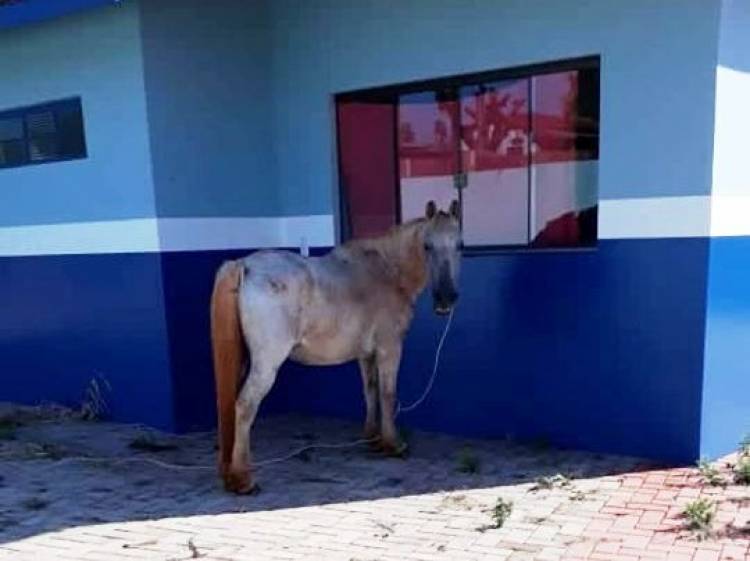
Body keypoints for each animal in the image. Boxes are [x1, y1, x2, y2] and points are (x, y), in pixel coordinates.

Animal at [209, 199, 462, 492]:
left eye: (459, 245)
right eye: (427, 246)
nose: (446, 299)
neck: (387, 272)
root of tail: (244, 265)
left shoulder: (366, 355)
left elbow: (370, 391)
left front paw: (373, 439)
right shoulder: (390, 348)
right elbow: (388, 394)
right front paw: (394, 443)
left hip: (242, 360)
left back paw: (229, 473)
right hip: (266, 364)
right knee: (245, 405)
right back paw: (242, 479)